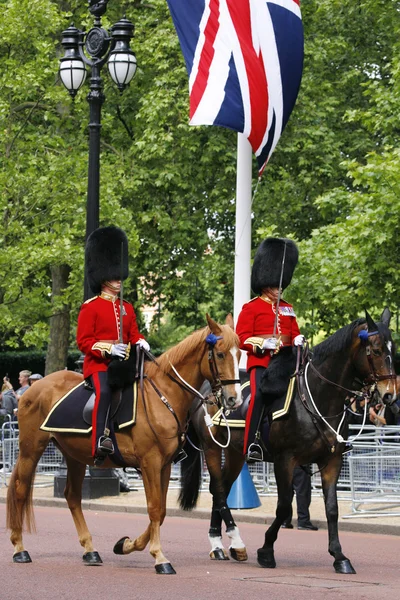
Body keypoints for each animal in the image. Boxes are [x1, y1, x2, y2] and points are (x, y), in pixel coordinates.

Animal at [7, 314, 241, 572]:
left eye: (240, 353)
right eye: (220, 354)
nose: (234, 399)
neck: (164, 395)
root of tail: (34, 389)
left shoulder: (165, 465)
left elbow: (161, 511)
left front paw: (126, 545)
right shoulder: (150, 462)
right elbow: (154, 508)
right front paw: (160, 557)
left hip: (75, 455)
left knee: (72, 496)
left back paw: (90, 550)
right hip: (31, 449)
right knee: (20, 490)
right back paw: (19, 548)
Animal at [179, 310, 396, 572]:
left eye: (393, 349)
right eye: (375, 350)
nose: (390, 394)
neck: (317, 398)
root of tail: (205, 389)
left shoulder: (332, 460)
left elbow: (331, 508)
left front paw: (339, 556)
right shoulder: (285, 460)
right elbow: (284, 507)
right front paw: (266, 551)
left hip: (235, 453)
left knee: (222, 489)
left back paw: (222, 544)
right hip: (211, 448)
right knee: (218, 489)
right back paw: (228, 543)